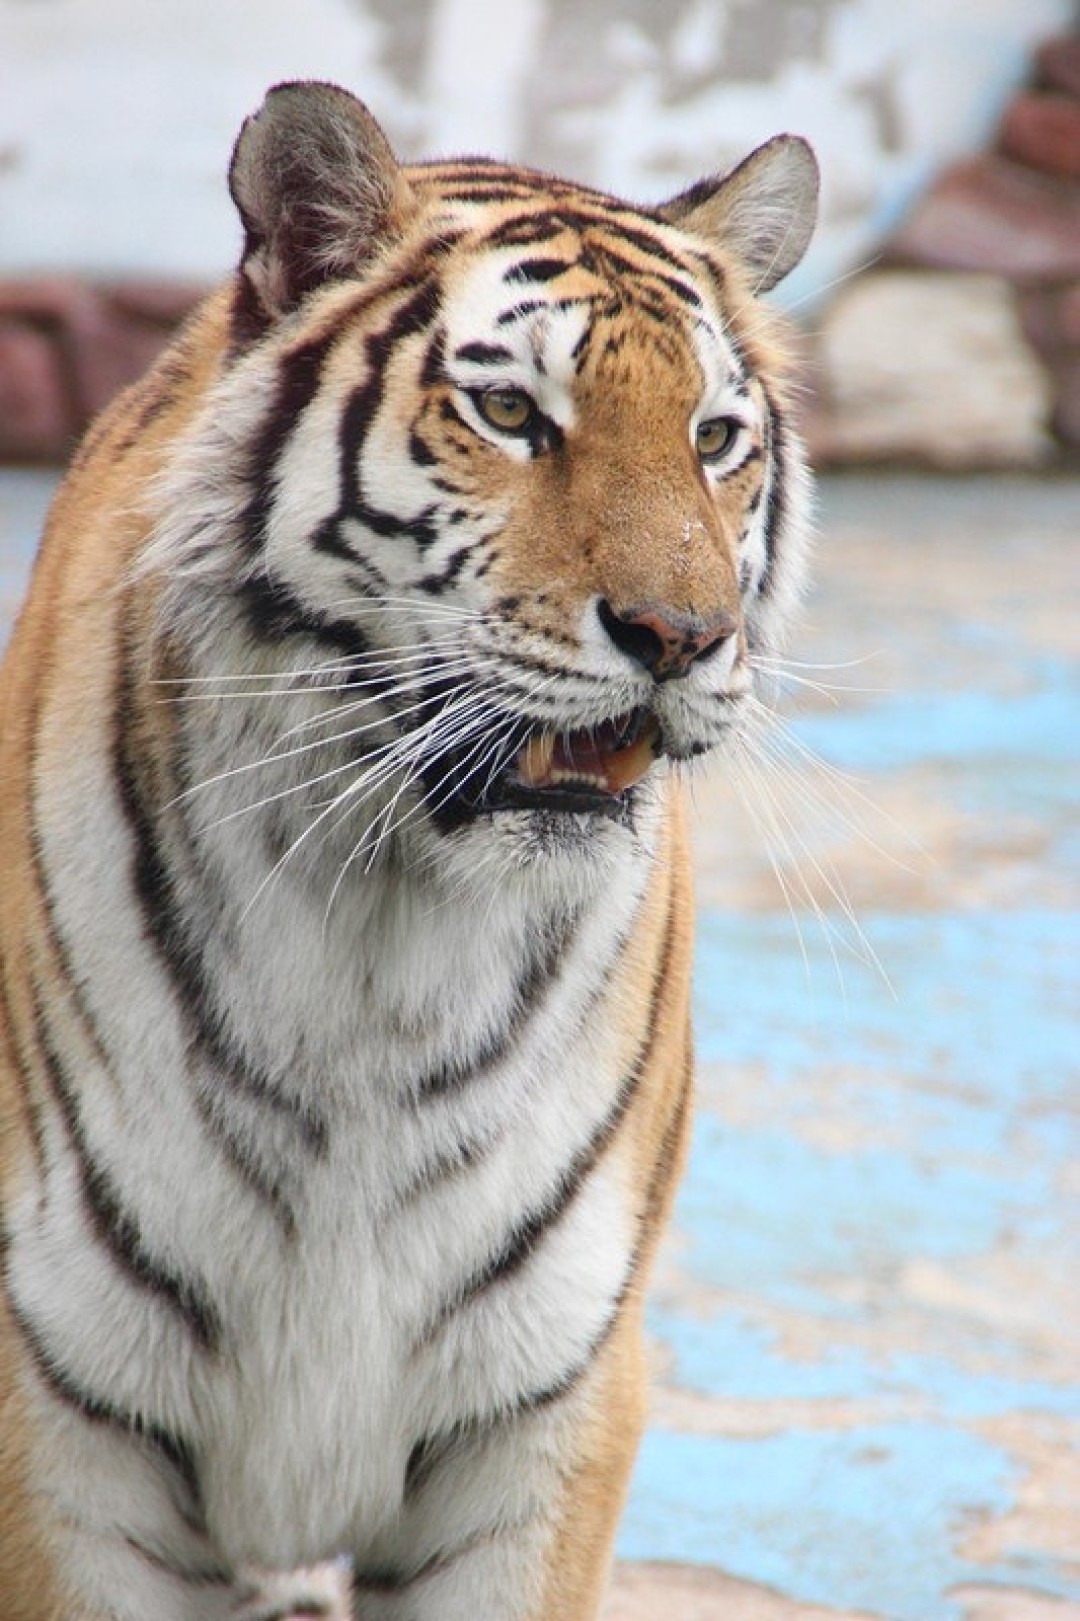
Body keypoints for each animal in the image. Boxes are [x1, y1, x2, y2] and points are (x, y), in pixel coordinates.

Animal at [0, 80, 817, 1620]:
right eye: (509, 412)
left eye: (714, 437)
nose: (683, 637)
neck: (385, 923)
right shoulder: (62, 1413)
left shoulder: (546, 1405)